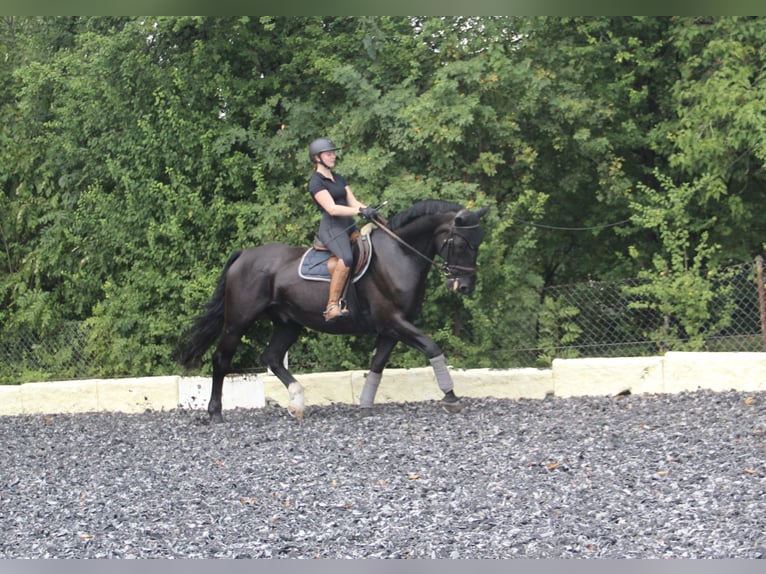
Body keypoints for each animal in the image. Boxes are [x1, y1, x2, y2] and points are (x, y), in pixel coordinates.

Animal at [178, 199, 492, 424]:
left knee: (272, 357)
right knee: (222, 358)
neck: (400, 255)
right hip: (239, 320)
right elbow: (432, 347)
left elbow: (377, 364)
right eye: (461, 243)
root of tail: (244, 254)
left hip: (288, 323)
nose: (465, 286)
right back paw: (215, 413)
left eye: (478, 244)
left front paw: (365, 405)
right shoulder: (394, 321)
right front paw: (451, 397)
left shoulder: (391, 328)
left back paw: (297, 403)